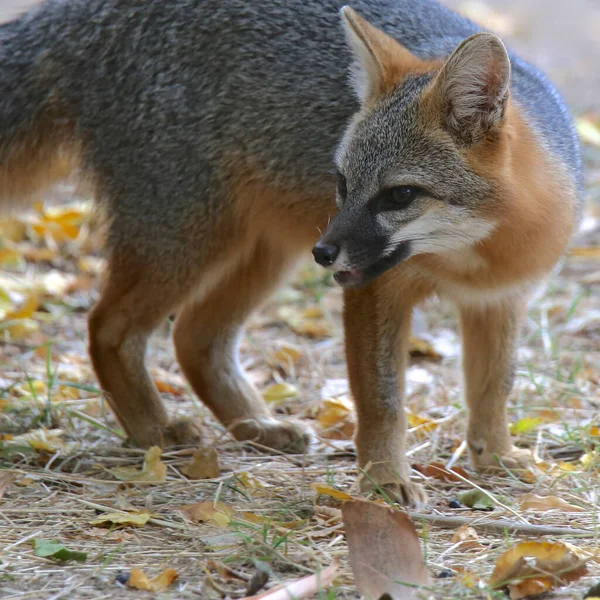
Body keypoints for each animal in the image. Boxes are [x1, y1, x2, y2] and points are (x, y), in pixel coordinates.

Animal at [0, 0, 580, 506]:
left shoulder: (501, 300)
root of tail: (92, 11)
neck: (473, 259)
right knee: (109, 327)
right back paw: (155, 430)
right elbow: (382, 401)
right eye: (342, 183)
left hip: (263, 253)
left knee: (194, 336)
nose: (326, 252)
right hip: (188, 243)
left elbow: (494, 387)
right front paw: (384, 480)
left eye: (399, 195)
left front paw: (495, 458)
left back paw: (256, 427)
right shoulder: (375, 292)